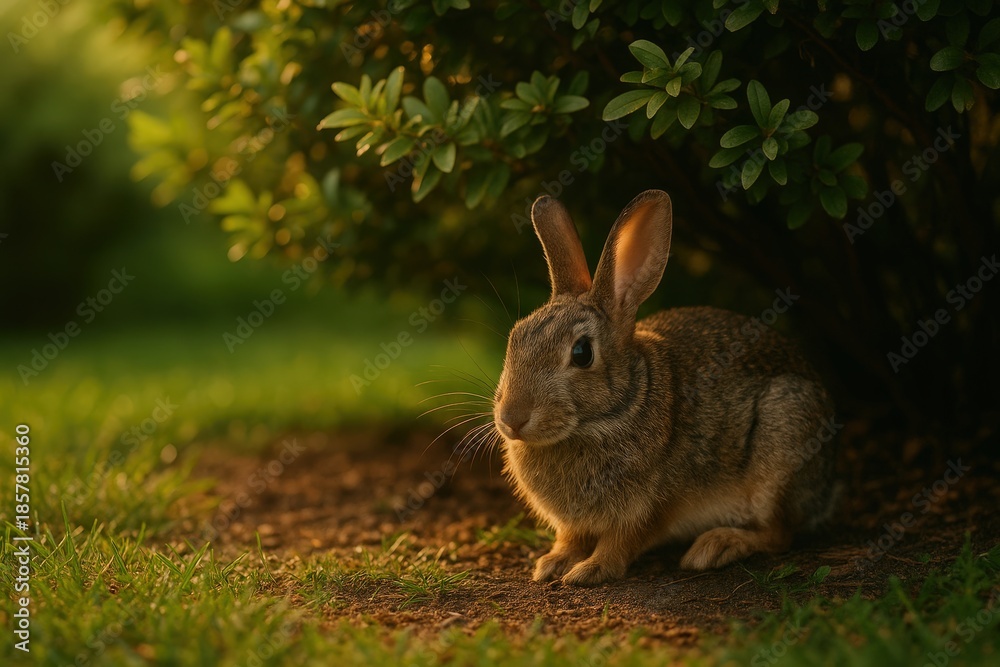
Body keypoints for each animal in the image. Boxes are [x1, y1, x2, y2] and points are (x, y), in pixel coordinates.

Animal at [492, 189, 837, 586]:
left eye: (581, 354)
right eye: (515, 337)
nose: (512, 419)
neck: (616, 411)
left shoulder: (651, 507)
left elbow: (623, 541)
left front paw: (592, 570)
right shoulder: (573, 524)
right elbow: (571, 538)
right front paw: (552, 563)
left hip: (780, 448)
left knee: (779, 534)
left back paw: (717, 546)